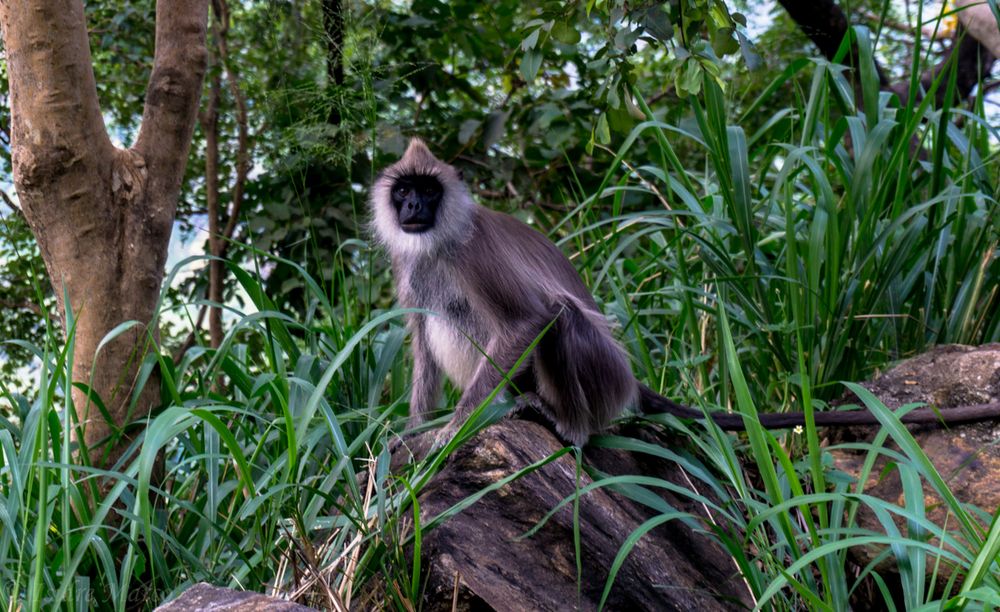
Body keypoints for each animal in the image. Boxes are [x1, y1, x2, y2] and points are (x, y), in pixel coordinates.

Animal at [372, 137, 1000, 444]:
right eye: (404, 191)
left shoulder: (470, 252)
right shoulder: (410, 266)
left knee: (564, 316)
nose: (413, 206)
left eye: (428, 191)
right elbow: (422, 342)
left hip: (604, 378)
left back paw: (572, 427)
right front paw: (413, 430)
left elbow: (530, 320)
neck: (438, 240)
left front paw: (448, 433)